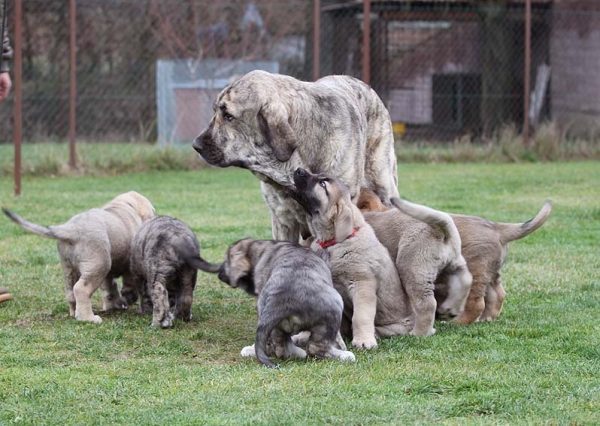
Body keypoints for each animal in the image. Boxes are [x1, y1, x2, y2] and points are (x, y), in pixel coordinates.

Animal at [2, 192, 156, 322]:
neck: (126, 207)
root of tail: (71, 229)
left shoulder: (108, 272)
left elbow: (110, 287)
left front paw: (113, 304)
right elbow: (128, 283)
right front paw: (128, 299)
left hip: (69, 268)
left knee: (71, 292)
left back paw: (74, 312)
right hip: (98, 265)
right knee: (81, 289)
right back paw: (88, 318)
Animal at [217, 238, 354, 368]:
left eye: (226, 260)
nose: (219, 274)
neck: (259, 250)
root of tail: (279, 300)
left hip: (274, 325)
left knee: (281, 348)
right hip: (334, 307)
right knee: (315, 348)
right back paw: (345, 355)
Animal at [290, 167, 412, 350]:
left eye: (322, 184)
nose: (299, 169)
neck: (331, 244)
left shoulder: (363, 284)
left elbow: (361, 316)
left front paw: (363, 340)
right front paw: (303, 335)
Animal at [356, 188, 552, 324]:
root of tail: (498, 229)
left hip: (475, 272)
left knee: (476, 304)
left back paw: (458, 322)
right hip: (490, 273)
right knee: (498, 295)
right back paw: (486, 319)